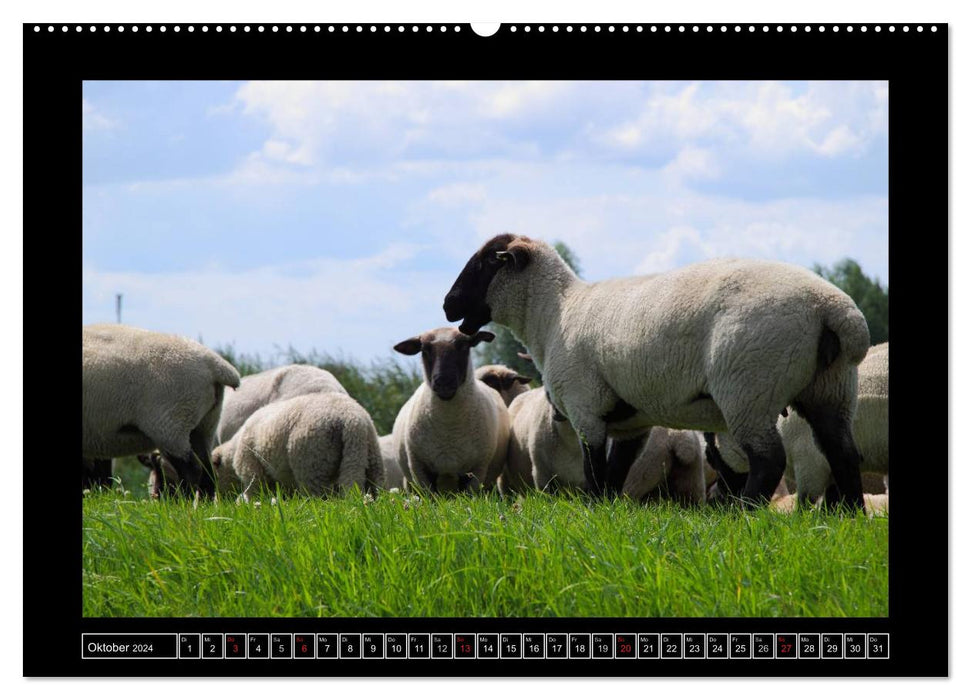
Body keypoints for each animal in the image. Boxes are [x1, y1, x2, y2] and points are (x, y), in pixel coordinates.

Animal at [83, 324, 243, 498]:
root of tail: (215, 365)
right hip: (205, 423)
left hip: (172, 422)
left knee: (191, 469)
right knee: (208, 471)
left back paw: (185, 501)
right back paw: (203, 502)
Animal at [212, 392, 384, 500]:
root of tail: (352, 419)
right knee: (375, 489)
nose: (216, 502)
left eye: (215, 474)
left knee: (320, 497)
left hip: (313, 461)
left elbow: (254, 493)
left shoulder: (251, 469)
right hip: (368, 455)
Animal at [392, 326, 512, 492]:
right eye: (425, 350)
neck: (449, 430)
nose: (444, 382)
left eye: (464, 346)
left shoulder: (477, 470)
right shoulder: (420, 469)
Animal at [444, 235, 868, 508]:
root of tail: (834, 310)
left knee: (769, 461)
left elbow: (594, 471)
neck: (553, 313)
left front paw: (591, 510)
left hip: (749, 387)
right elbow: (615, 474)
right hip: (831, 389)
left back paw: (746, 514)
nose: (448, 304)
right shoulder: (632, 423)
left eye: (486, 262)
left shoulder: (585, 408)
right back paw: (849, 516)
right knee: (844, 455)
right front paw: (607, 513)